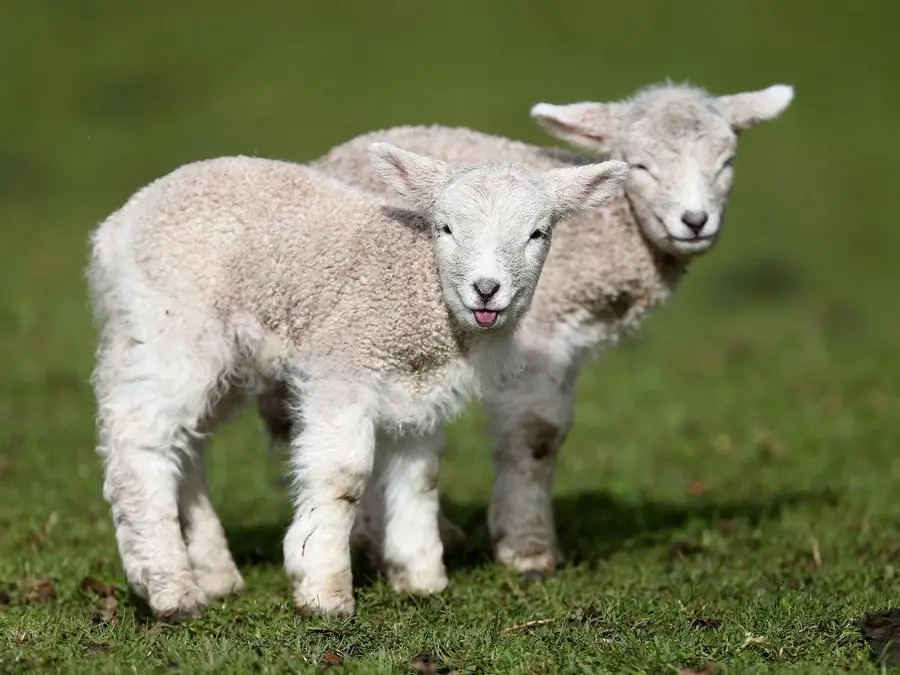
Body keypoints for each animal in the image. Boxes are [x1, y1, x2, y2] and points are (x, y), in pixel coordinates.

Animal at [88, 144, 628, 624]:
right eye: (446, 227)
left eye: (538, 233)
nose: (486, 290)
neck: (419, 289)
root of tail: (115, 228)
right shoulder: (344, 367)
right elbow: (342, 478)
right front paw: (323, 589)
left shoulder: (421, 392)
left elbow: (420, 477)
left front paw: (420, 578)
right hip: (172, 327)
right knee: (141, 440)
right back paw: (170, 590)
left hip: (215, 353)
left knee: (187, 445)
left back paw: (215, 575)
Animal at [255, 82, 796, 580]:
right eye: (640, 166)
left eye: (727, 162)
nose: (695, 221)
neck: (603, 234)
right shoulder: (538, 336)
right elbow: (535, 434)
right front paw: (528, 548)